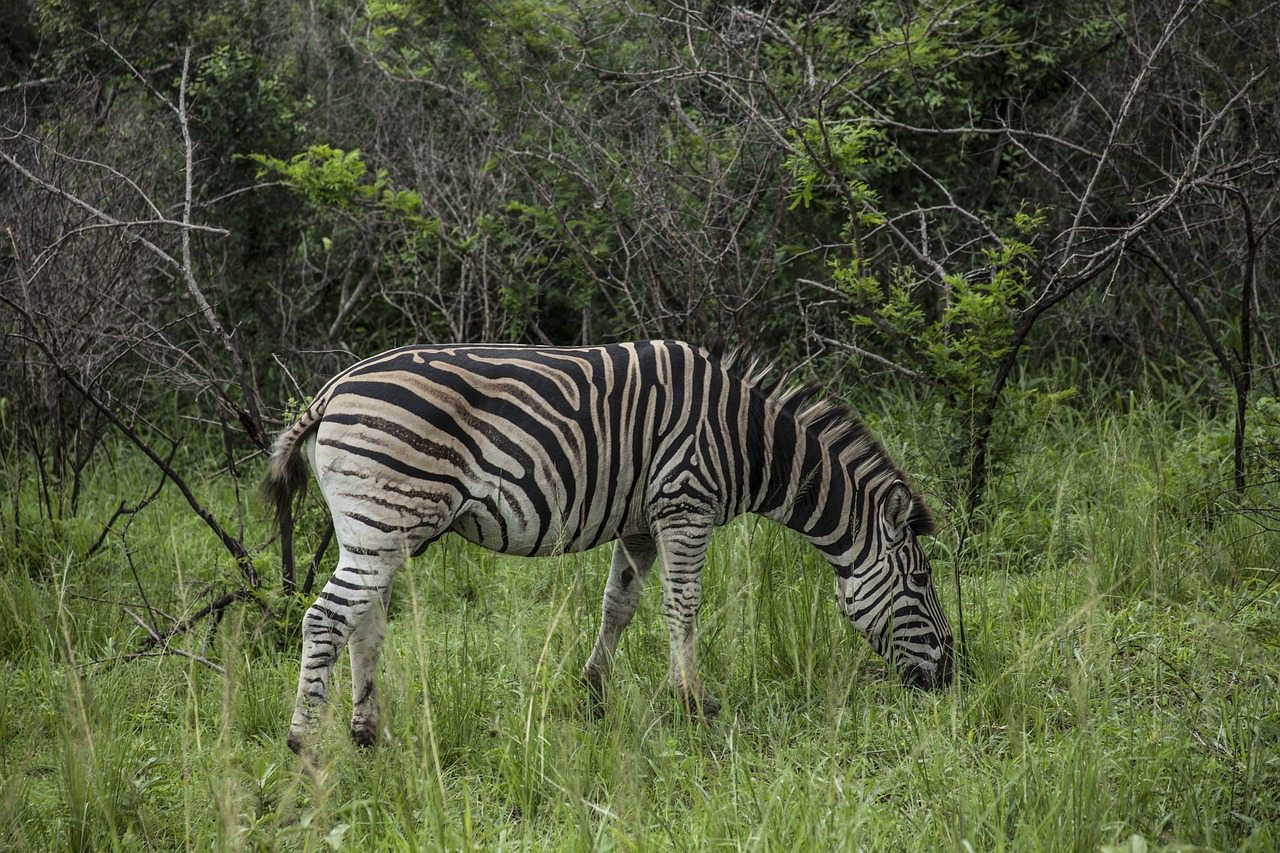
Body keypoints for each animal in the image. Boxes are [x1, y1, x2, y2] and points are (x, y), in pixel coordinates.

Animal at [267, 338, 952, 753]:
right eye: (921, 582)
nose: (951, 678)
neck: (748, 441)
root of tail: (332, 389)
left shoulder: (641, 523)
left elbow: (618, 605)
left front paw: (595, 692)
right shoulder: (685, 505)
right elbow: (683, 606)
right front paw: (693, 704)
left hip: (380, 531)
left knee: (365, 621)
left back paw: (367, 733)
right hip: (383, 518)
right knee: (326, 618)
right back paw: (304, 743)